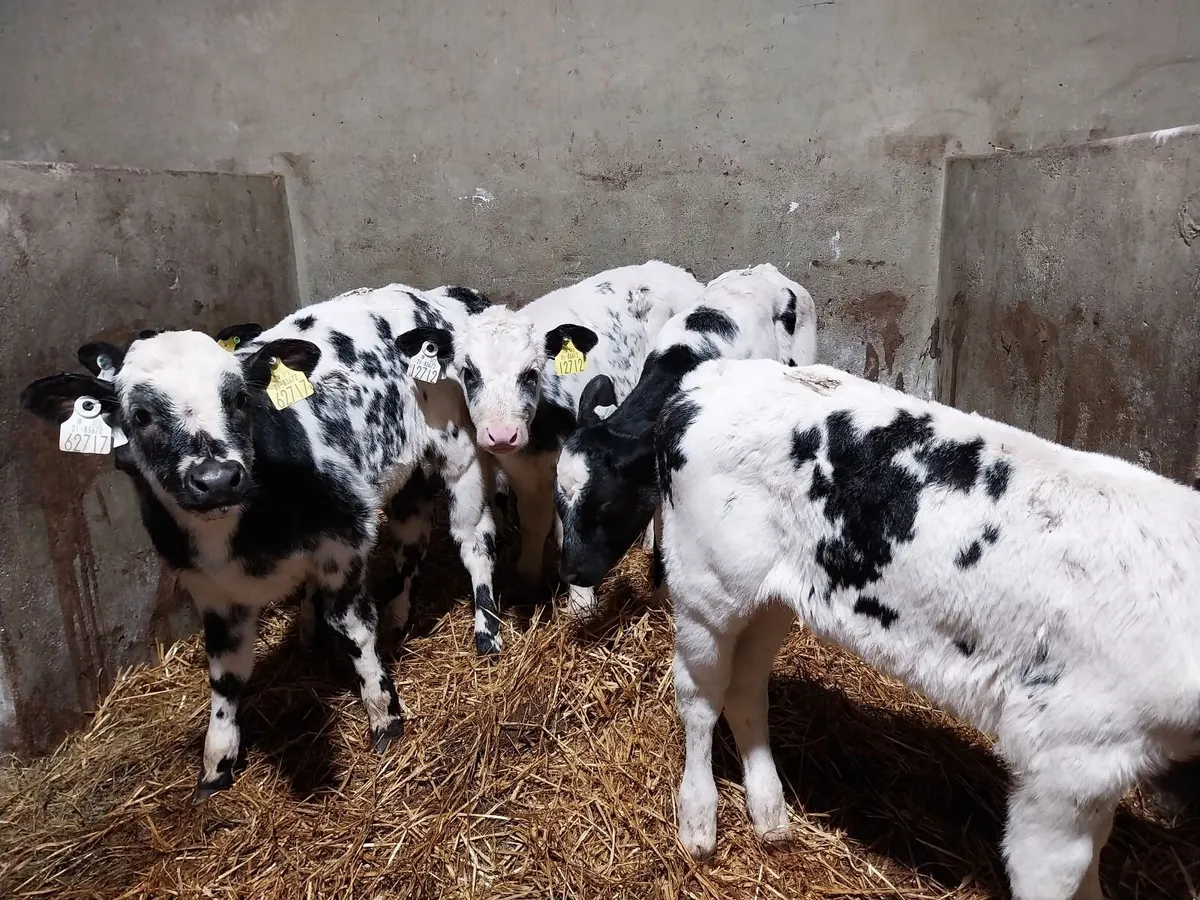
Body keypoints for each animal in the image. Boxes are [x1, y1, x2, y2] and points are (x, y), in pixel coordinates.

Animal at [657, 358, 1200, 900]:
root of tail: (704, 379)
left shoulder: (1100, 771)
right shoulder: (1064, 757)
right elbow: (1054, 872)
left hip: (772, 597)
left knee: (746, 687)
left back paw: (770, 815)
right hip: (706, 587)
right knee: (700, 695)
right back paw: (699, 820)